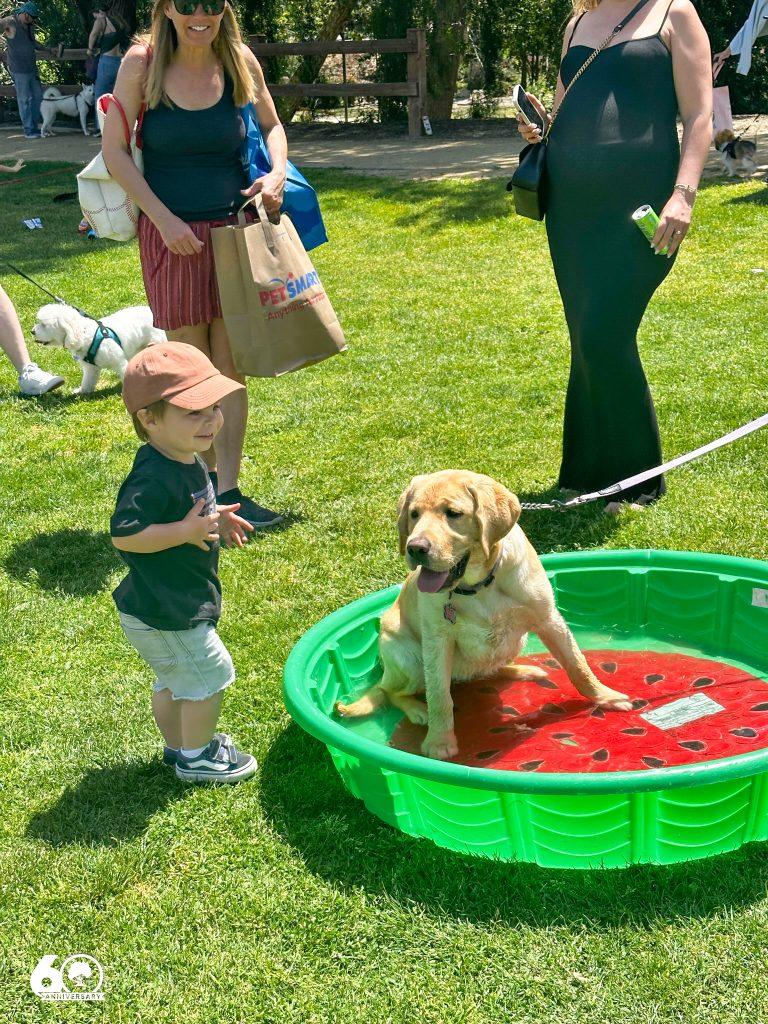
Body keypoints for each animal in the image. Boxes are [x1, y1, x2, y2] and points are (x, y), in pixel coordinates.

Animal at [33, 301, 166, 393]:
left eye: (44, 325)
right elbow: (87, 381)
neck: (85, 335)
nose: (32, 331)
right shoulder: (91, 369)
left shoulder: (120, 362)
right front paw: (82, 391)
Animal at [335, 471, 630, 761]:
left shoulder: (549, 619)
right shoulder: (437, 641)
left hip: (514, 641)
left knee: (490, 669)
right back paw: (418, 710)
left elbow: (578, 665)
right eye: (414, 514)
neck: (477, 585)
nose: (415, 548)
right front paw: (439, 741)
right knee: (392, 691)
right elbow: (440, 696)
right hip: (410, 658)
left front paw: (605, 696)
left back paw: (523, 670)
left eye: (453, 513)